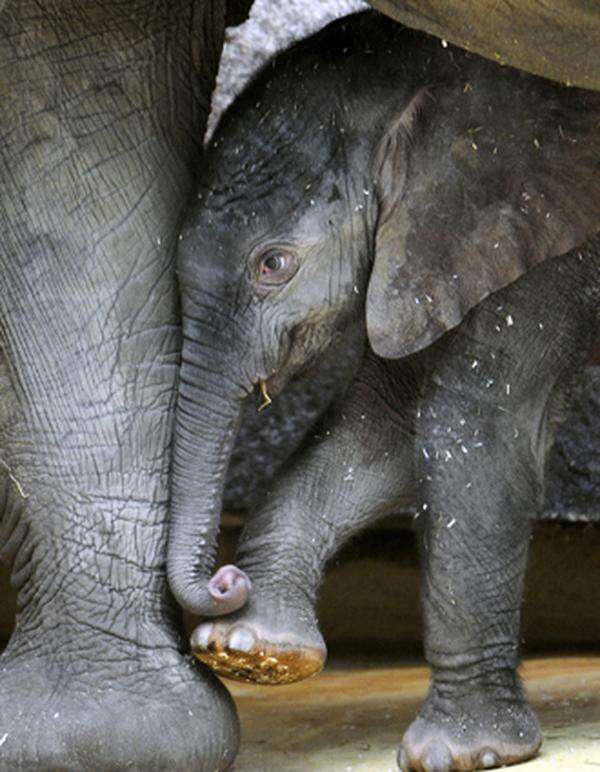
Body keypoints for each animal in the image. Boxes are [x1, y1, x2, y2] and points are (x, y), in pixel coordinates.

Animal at [168, 10, 600, 772]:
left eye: (273, 265)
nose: (222, 583)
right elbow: (385, 421)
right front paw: (251, 651)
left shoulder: (522, 218)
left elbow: (471, 429)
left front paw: (462, 752)